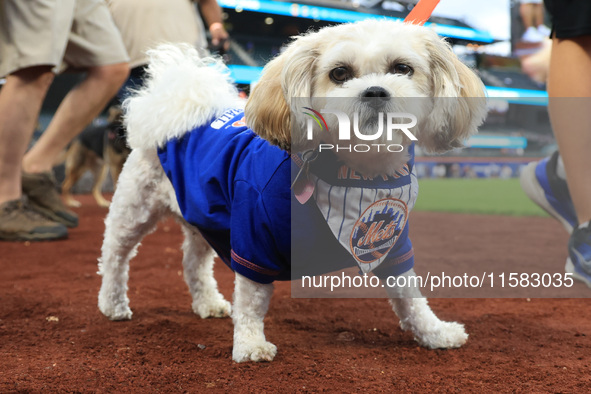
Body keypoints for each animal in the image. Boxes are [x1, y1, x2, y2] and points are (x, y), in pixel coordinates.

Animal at [96, 20, 486, 362]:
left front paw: (434, 332)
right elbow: (251, 299)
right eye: (339, 73)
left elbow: (410, 296)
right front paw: (250, 344)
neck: (355, 175)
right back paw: (113, 304)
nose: (375, 92)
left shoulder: (392, 242)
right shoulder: (254, 240)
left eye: (403, 68)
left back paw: (207, 303)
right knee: (115, 257)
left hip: (204, 219)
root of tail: (181, 106)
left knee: (193, 264)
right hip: (134, 209)